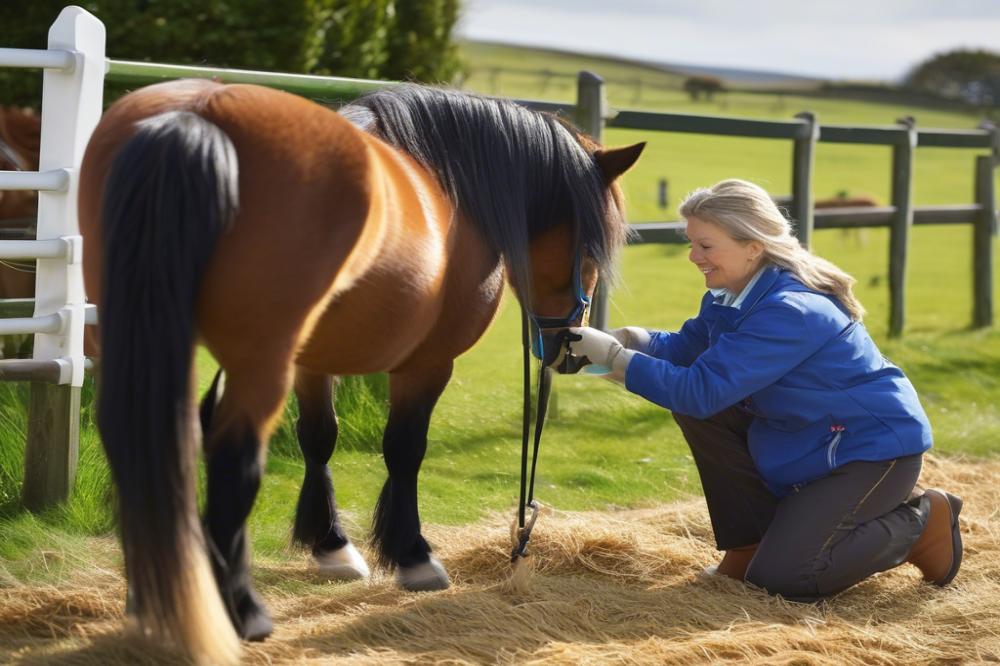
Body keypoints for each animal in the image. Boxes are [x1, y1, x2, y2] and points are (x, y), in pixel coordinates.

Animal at [76, 78, 640, 660]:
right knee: (233, 457)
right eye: (589, 250)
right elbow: (404, 449)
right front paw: (413, 556)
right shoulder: (427, 362)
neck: (453, 180)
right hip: (257, 360)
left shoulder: (312, 359)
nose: (570, 349)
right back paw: (240, 611)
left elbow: (318, 438)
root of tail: (198, 114)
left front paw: (332, 547)